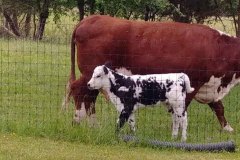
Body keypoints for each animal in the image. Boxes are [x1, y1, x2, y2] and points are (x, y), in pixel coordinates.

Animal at [62, 14, 240, 131]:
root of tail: (91, 18)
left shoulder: (209, 87)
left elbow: (219, 107)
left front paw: (228, 129)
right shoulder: (193, 84)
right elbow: (180, 111)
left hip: (96, 78)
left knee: (89, 97)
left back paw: (93, 125)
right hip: (89, 73)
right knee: (80, 90)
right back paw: (79, 120)